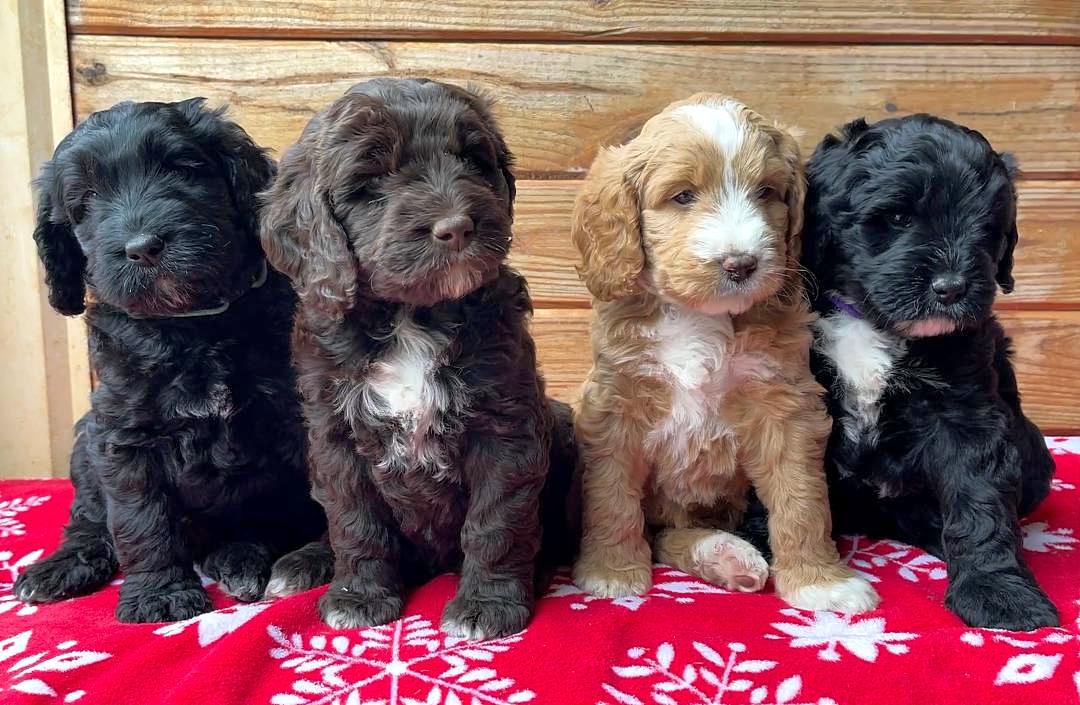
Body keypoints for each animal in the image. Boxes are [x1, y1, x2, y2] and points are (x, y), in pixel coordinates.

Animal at [14, 99, 325, 622]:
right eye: (86, 201)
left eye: (182, 168)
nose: (142, 248)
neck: (192, 323)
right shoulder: (125, 437)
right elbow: (142, 520)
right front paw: (159, 595)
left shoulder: (296, 416)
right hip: (84, 445)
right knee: (89, 520)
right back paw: (61, 566)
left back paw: (239, 557)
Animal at [258, 78, 578, 639]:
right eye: (371, 180)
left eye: (473, 159)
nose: (456, 227)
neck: (412, 316)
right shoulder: (335, 435)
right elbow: (354, 520)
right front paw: (358, 596)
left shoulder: (505, 426)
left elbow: (498, 521)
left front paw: (488, 606)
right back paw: (304, 562)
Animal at [569, 94, 878, 614]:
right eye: (682, 196)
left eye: (767, 192)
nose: (741, 264)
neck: (701, 316)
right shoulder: (616, 405)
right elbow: (611, 494)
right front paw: (610, 572)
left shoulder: (784, 404)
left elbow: (801, 496)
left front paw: (820, 581)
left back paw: (725, 556)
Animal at [799, 114, 1058, 630]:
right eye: (899, 218)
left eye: (988, 227)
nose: (951, 288)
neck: (871, 320)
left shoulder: (965, 412)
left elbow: (979, 498)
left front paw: (998, 591)